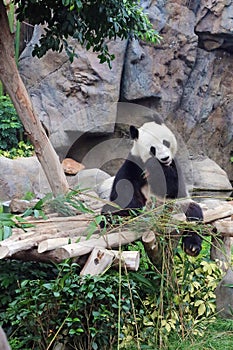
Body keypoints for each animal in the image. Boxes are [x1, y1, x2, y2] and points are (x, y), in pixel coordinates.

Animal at [101, 121, 203, 256]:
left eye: (166, 143)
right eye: (152, 149)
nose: (165, 158)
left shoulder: (175, 166)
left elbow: (175, 189)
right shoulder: (134, 163)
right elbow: (124, 191)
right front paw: (135, 208)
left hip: (179, 207)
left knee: (194, 216)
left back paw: (192, 247)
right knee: (109, 212)